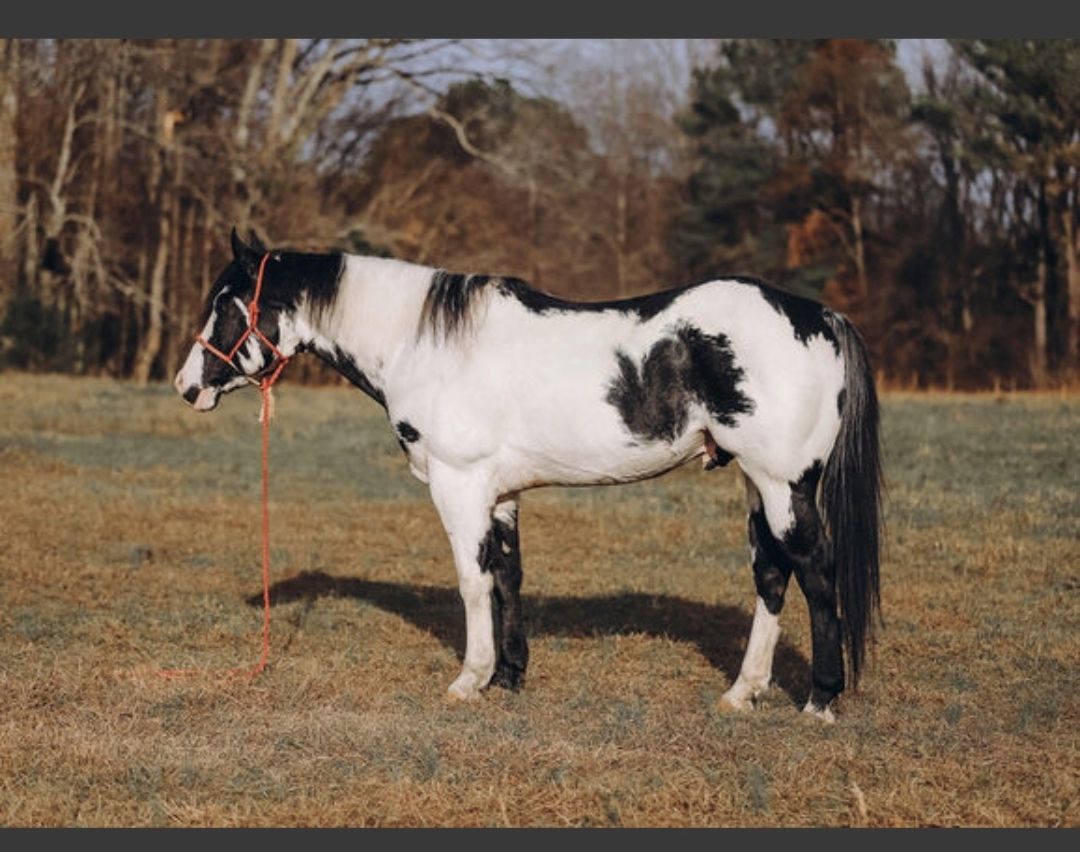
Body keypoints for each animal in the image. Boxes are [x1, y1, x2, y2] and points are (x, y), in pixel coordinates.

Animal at [175, 229, 883, 722]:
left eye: (226, 304)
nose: (187, 387)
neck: (422, 345)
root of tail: (820, 317)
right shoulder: (502, 493)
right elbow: (507, 577)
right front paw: (511, 677)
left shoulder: (457, 485)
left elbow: (471, 581)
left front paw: (470, 679)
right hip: (757, 485)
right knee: (772, 575)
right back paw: (743, 693)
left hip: (784, 483)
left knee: (816, 575)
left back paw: (820, 701)